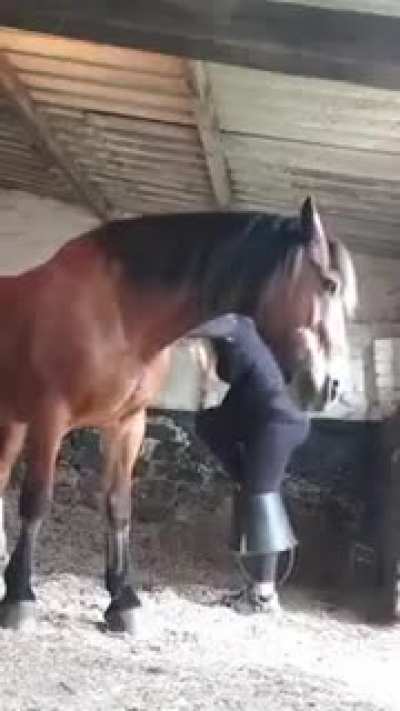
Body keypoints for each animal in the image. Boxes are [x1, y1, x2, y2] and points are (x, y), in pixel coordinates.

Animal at [0, 196, 357, 633]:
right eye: (329, 284)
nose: (332, 386)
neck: (118, 315)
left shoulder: (127, 425)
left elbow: (119, 508)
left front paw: (123, 601)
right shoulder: (50, 419)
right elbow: (36, 501)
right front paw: (19, 597)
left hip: (12, 421)